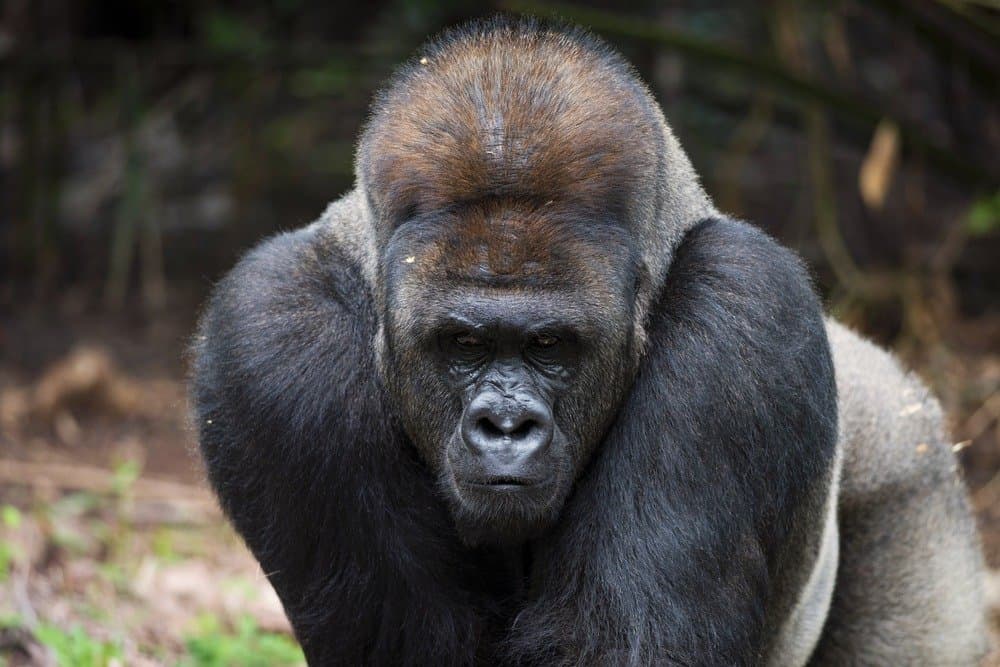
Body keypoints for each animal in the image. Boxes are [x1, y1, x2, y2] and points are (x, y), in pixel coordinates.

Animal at [191, 15, 988, 667]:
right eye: (462, 345)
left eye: (550, 346)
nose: (504, 425)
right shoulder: (269, 336)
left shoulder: (749, 309)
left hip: (909, 464)